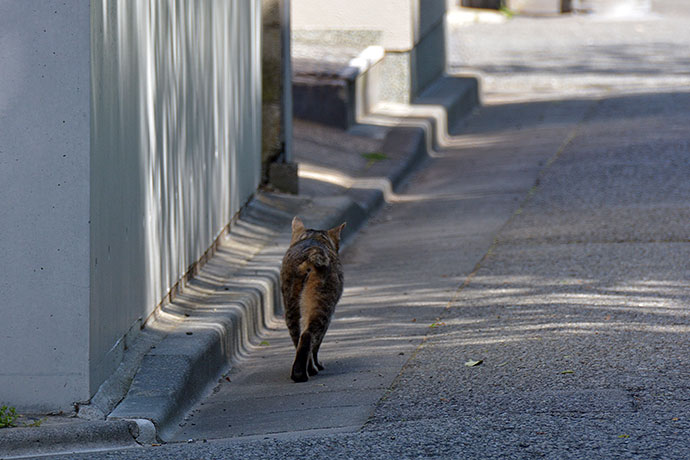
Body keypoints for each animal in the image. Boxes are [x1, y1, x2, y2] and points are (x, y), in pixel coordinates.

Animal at [278, 217, 344, 382]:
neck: (314, 237)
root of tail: (310, 254)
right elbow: (316, 345)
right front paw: (316, 365)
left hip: (290, 305)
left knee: (298, 337)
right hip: (322, 305)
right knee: (308, 335)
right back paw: (304, 372)